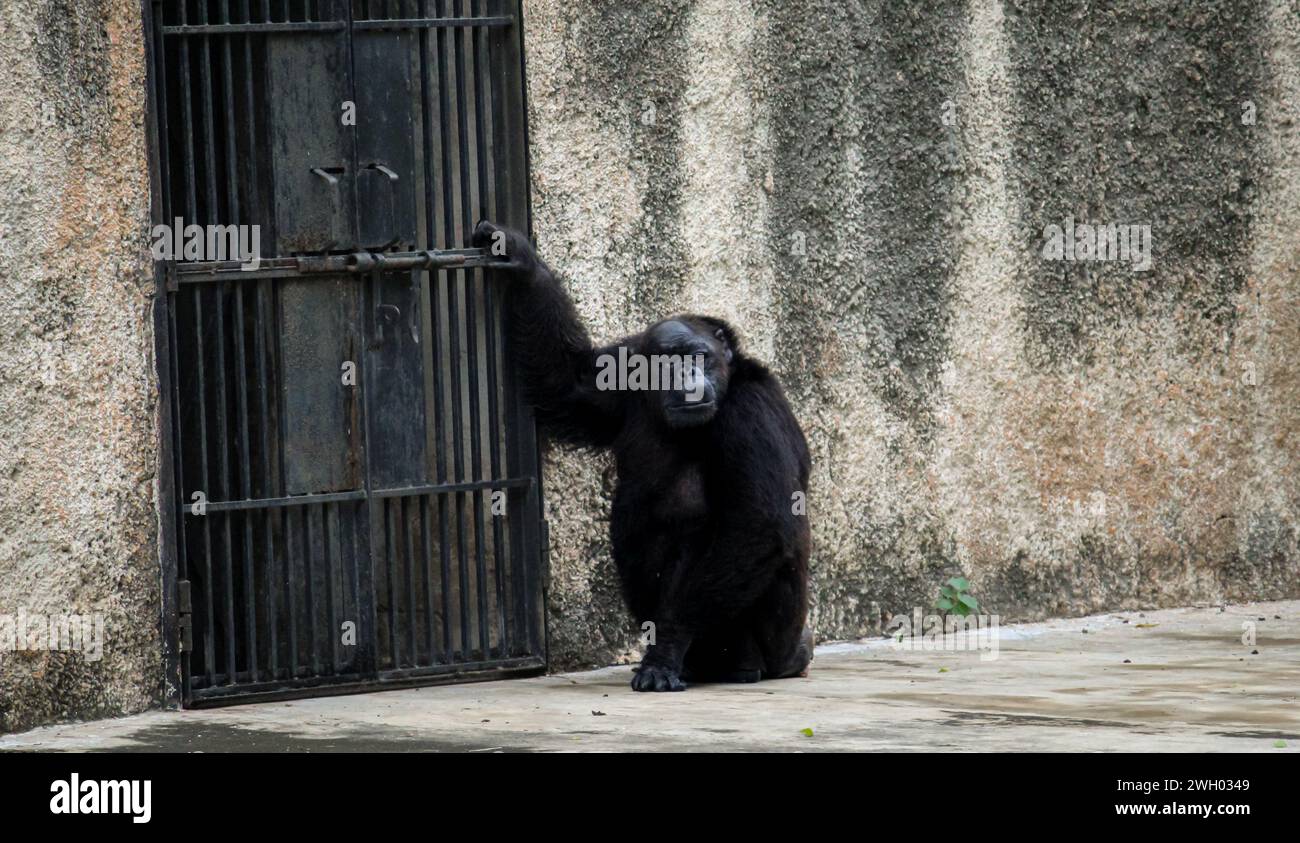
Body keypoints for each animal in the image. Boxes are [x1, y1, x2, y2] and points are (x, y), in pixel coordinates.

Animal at [473, 218, 806, 692]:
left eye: (699, 357)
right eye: (669, 364)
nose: (688, 379)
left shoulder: (751, 412)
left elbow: (758, 523)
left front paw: (666, 646)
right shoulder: (616, 375)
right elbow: (567, 381)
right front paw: (519, 257)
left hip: (772, 642)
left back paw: (730, 664)